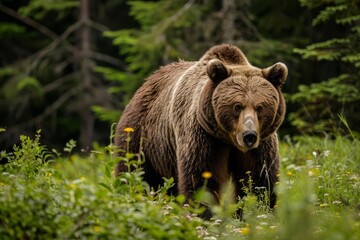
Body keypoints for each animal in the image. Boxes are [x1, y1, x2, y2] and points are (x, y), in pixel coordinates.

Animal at [114, 44, 288, 218]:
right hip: (143, 138)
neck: (229, 139)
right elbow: (203, 180)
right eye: (237, 106)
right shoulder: (204, 137)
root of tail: (147, 81)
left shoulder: (260, 145)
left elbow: (260, 180)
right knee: (135, 172)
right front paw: (205, 214)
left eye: (260, 107)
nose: (249, 136)